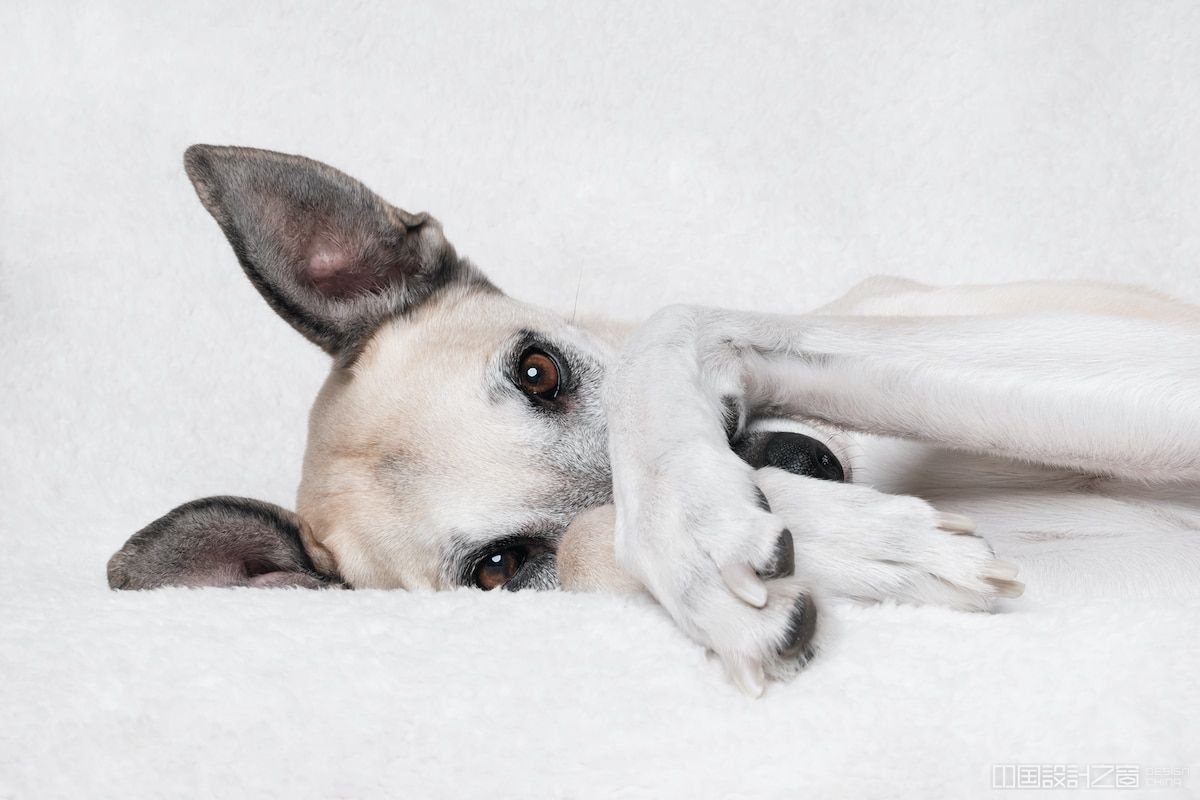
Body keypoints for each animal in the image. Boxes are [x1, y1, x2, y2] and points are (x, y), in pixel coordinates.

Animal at [108, 146, 1200, 695]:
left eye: (539, 368)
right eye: (499, 567)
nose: (800, 458)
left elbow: (676, 328)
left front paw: (703, 520)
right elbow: (604, 537)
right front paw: (828, 543)